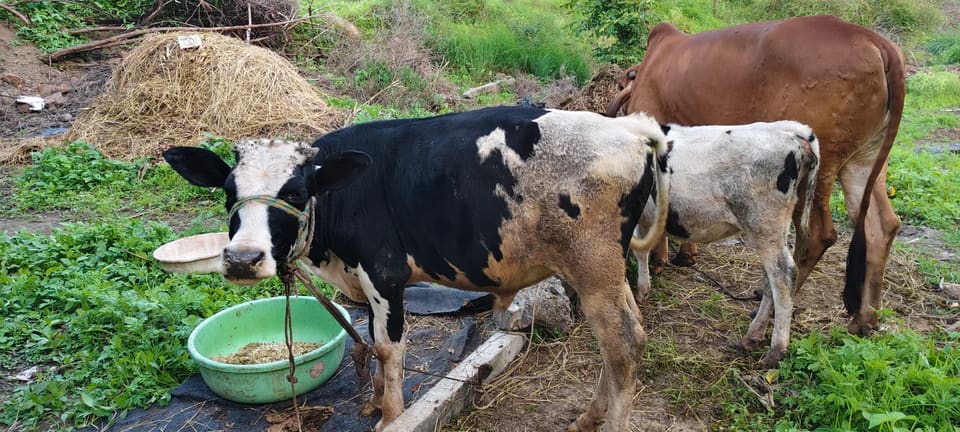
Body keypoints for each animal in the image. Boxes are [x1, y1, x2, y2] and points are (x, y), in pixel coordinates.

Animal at [162, 106, 671, 432]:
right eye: (228, 191)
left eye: (295, 192)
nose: (242, 259)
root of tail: (630, 127)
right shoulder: (362, 282)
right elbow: (367, 340)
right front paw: (371, 402)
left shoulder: (385, 274)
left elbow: (389, 350)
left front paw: (390, 415)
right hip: (598, 271)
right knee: (617, 342)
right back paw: (588, 417)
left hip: (595, 266)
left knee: (624, 344)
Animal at [606, 15, 905, 335]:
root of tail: (878, 43)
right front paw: (685, 254)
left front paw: (660, 260)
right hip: (863, 164)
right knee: (882, 226)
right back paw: (864, 320)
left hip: (817, 172)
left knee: (814, 239)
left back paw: (769, 314)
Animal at [633, 121, 820, 367]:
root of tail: (790, 131)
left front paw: (639, 294)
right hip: (771, 231)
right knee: (770, 278)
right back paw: (752, 336)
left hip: (764, 224)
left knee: (784, 275)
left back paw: (776, 350)